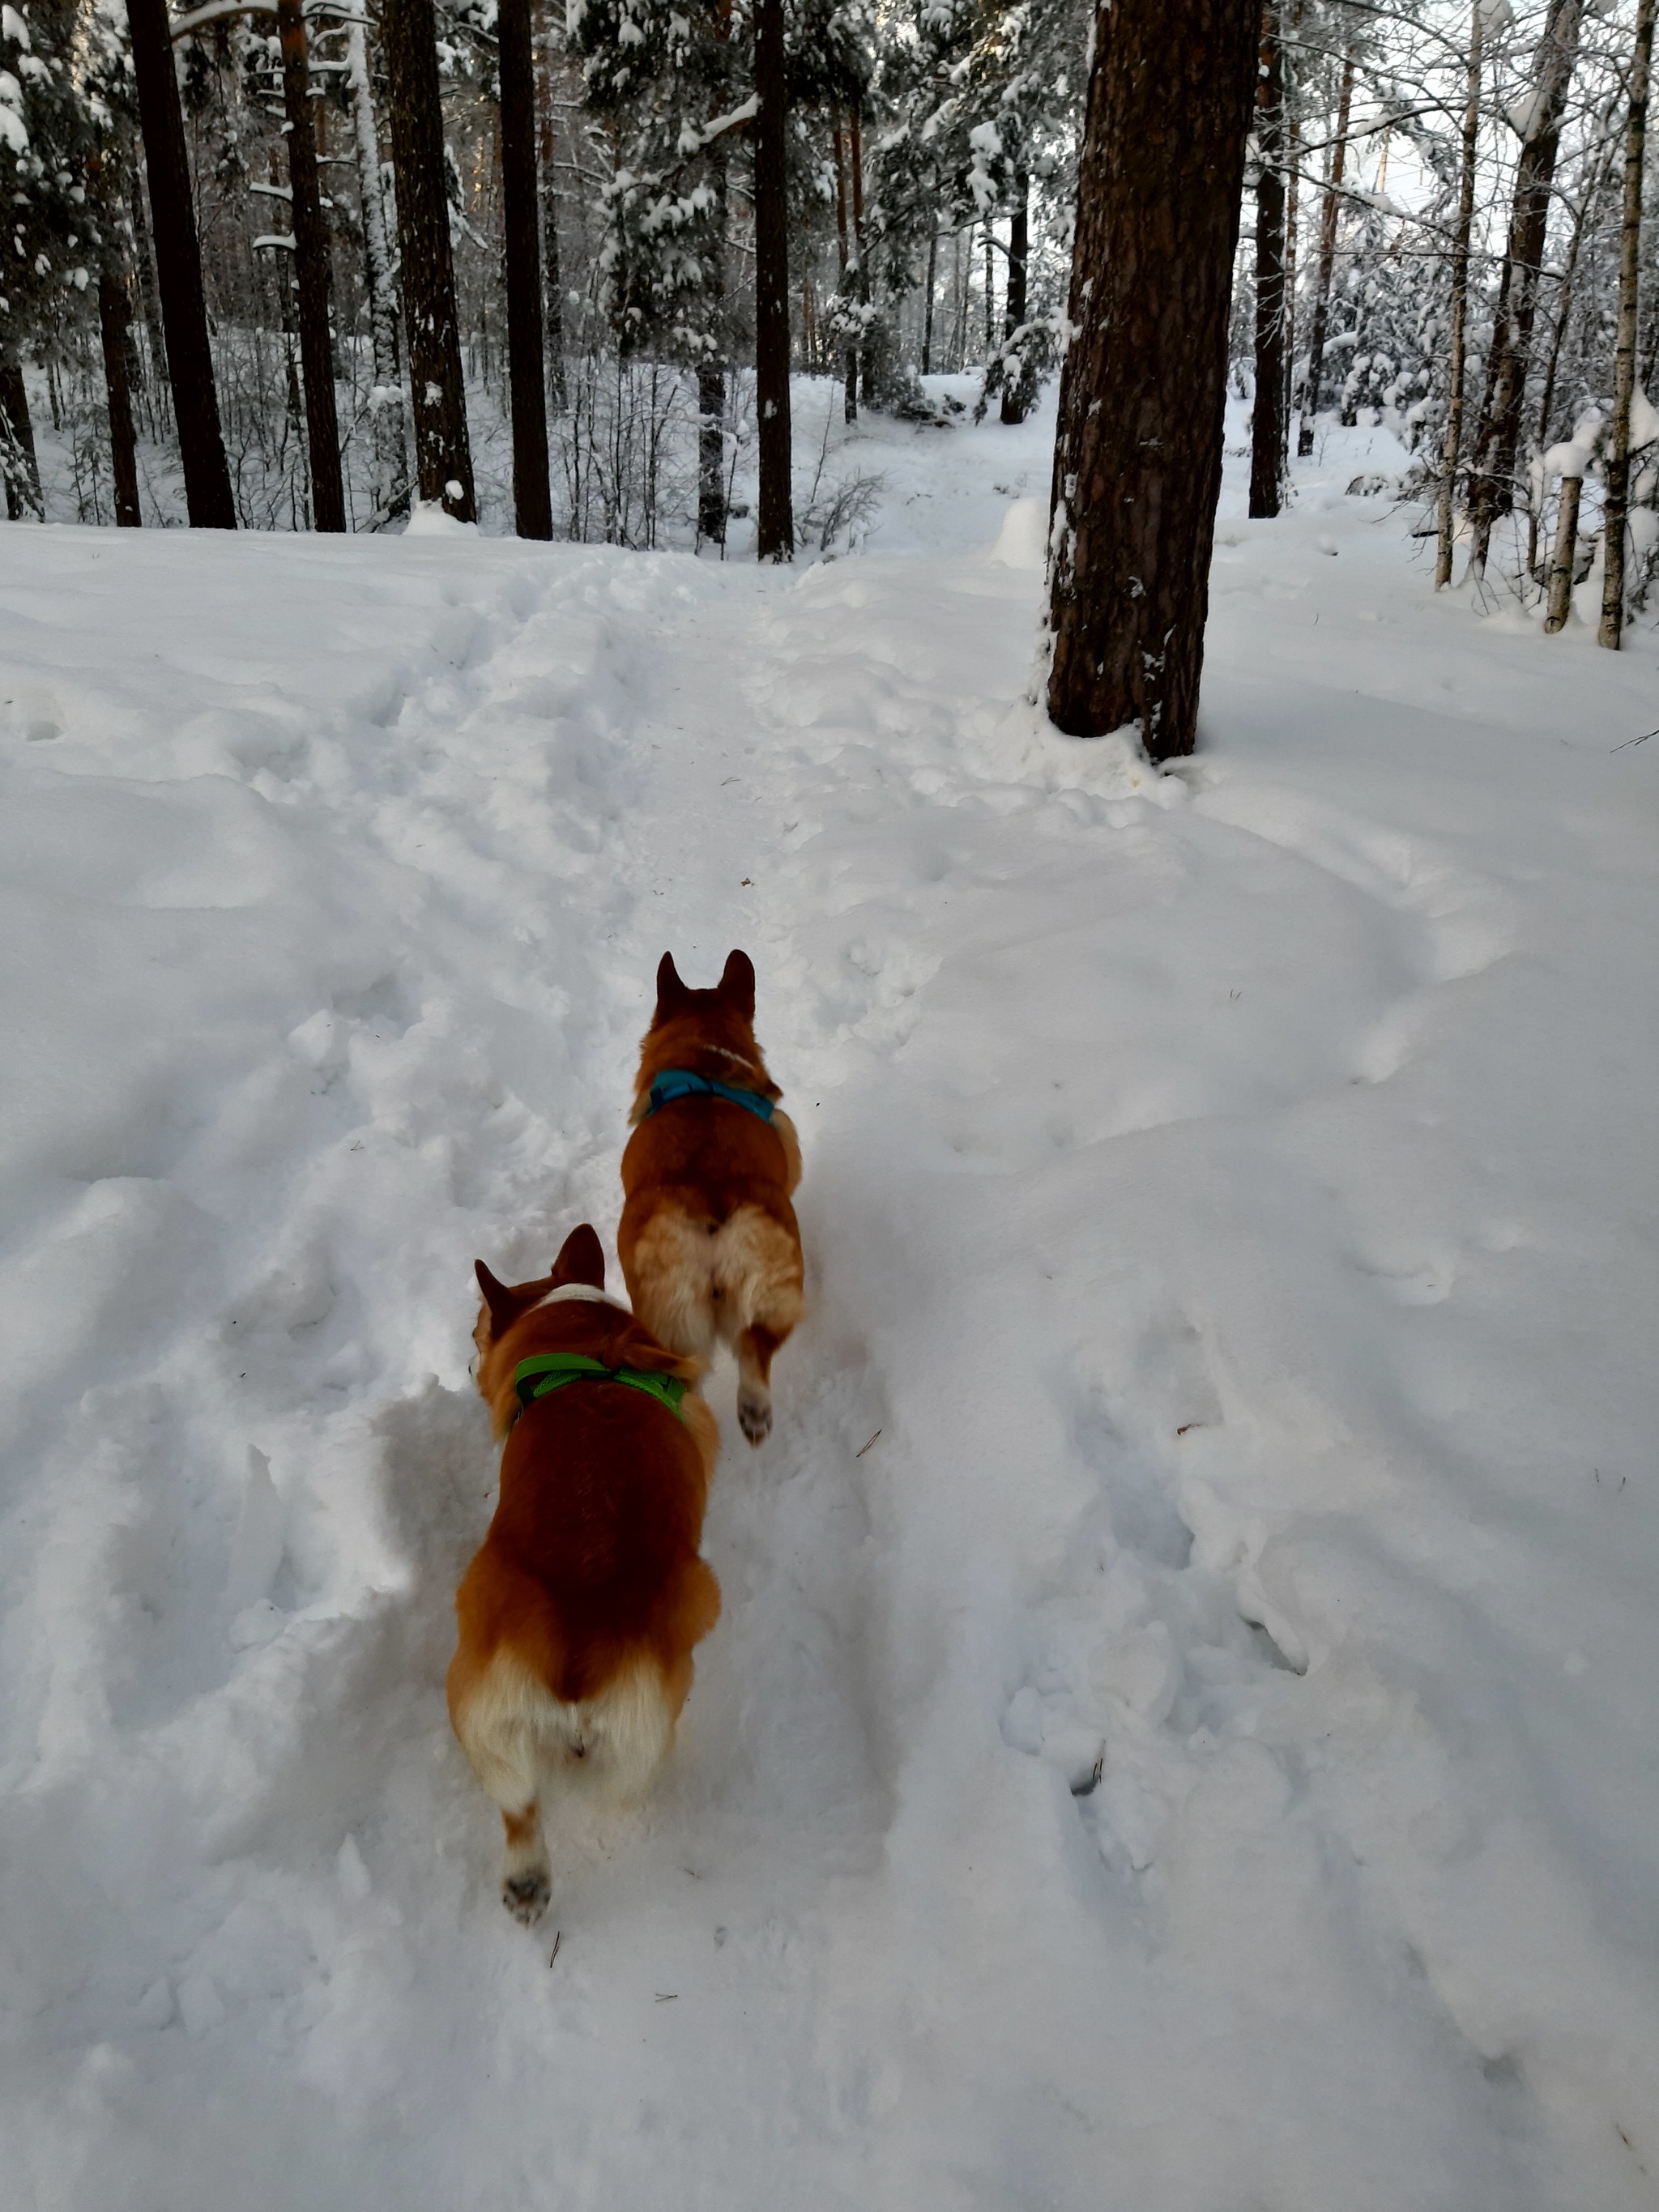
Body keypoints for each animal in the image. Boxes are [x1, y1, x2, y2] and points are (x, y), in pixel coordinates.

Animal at [449, 1221, 721, 1929]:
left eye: (476, 1332)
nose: (467, 1364)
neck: (580, 1332)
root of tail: (572, 1649)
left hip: (482, 1706)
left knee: (522, 1807)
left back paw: (527, 1882)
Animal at [619, 951, 809, 1451]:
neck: (704, 1059)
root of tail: (705, 1200)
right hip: (775, 1283)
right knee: (754, 1348)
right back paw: (755, 1412)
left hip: (669, 1324)